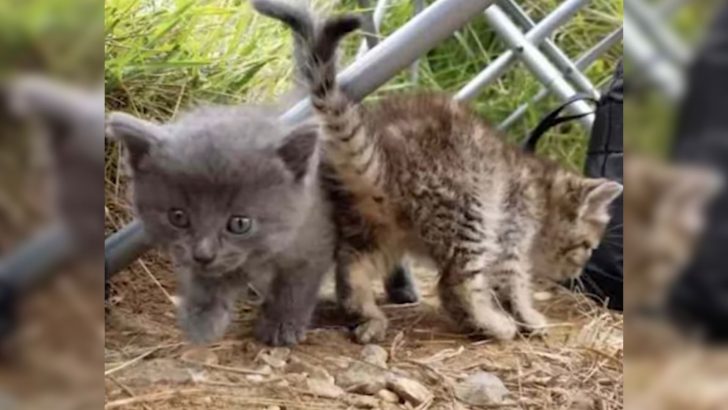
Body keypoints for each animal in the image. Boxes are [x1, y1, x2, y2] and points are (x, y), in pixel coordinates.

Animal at [106, 106, 334, 346]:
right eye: (178, 217)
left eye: (240, 223)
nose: (203, 255)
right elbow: (207, 283)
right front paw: (202, 319)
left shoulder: (314, 239)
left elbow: (296, 285)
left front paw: (281, 324)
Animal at [255, 0, 620, 342]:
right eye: (588, 246)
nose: (578, 271)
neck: (540, 188)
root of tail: (386, 158)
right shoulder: (510, 231)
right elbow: (512, 283)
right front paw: (527, 317)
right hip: (466, 207)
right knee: (455, 284)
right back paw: (490, 324)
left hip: (374, 224)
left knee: (352, 267)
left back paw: (366, 315)